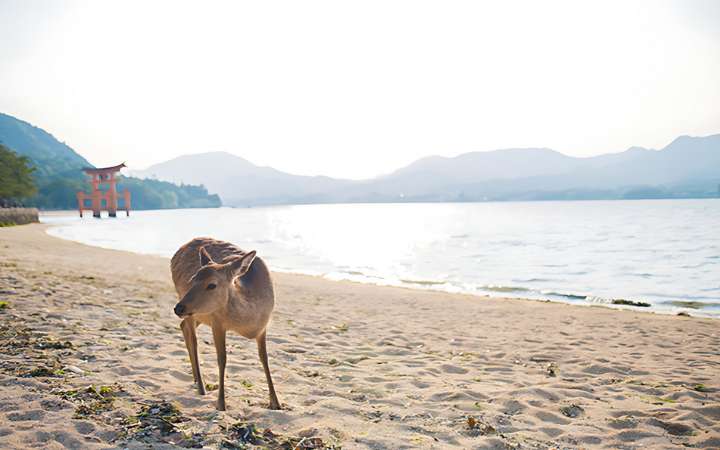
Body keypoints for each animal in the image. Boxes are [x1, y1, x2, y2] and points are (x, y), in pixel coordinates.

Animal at [170, 237, 281, 411]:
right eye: (192, 279)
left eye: (212, 284)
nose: (178, 308)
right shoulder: (217, 322)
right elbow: (222, 359)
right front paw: (221, 404)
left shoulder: (263, 327)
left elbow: (264, 358)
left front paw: (276, 403)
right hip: (189, 305)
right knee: (192, 339)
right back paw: (201, 387)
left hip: (198, 313)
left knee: (183, 327)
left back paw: (196, 379)